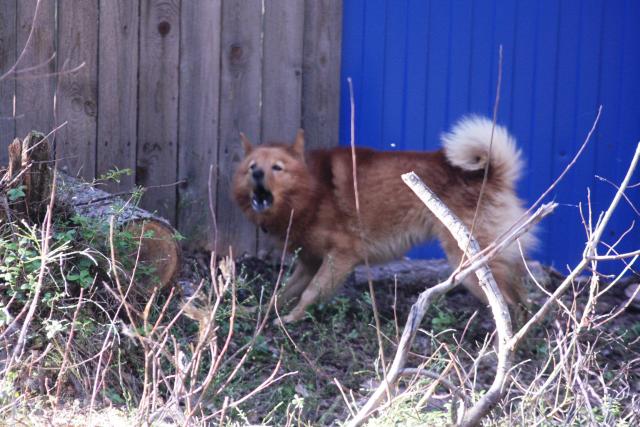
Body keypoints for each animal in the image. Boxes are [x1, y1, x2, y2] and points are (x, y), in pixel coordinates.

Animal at [233, 116, 535, 324]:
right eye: (252, 167)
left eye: (277, 168)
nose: (257, 174)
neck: (312, 191)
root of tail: (491, 174)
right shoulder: (309, 262)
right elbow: (280, 293)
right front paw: (257, 311)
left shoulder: (341, 257)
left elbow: (309, 293)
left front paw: (289, 320)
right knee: (522, 300)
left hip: (471, 264)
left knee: (507, 306)